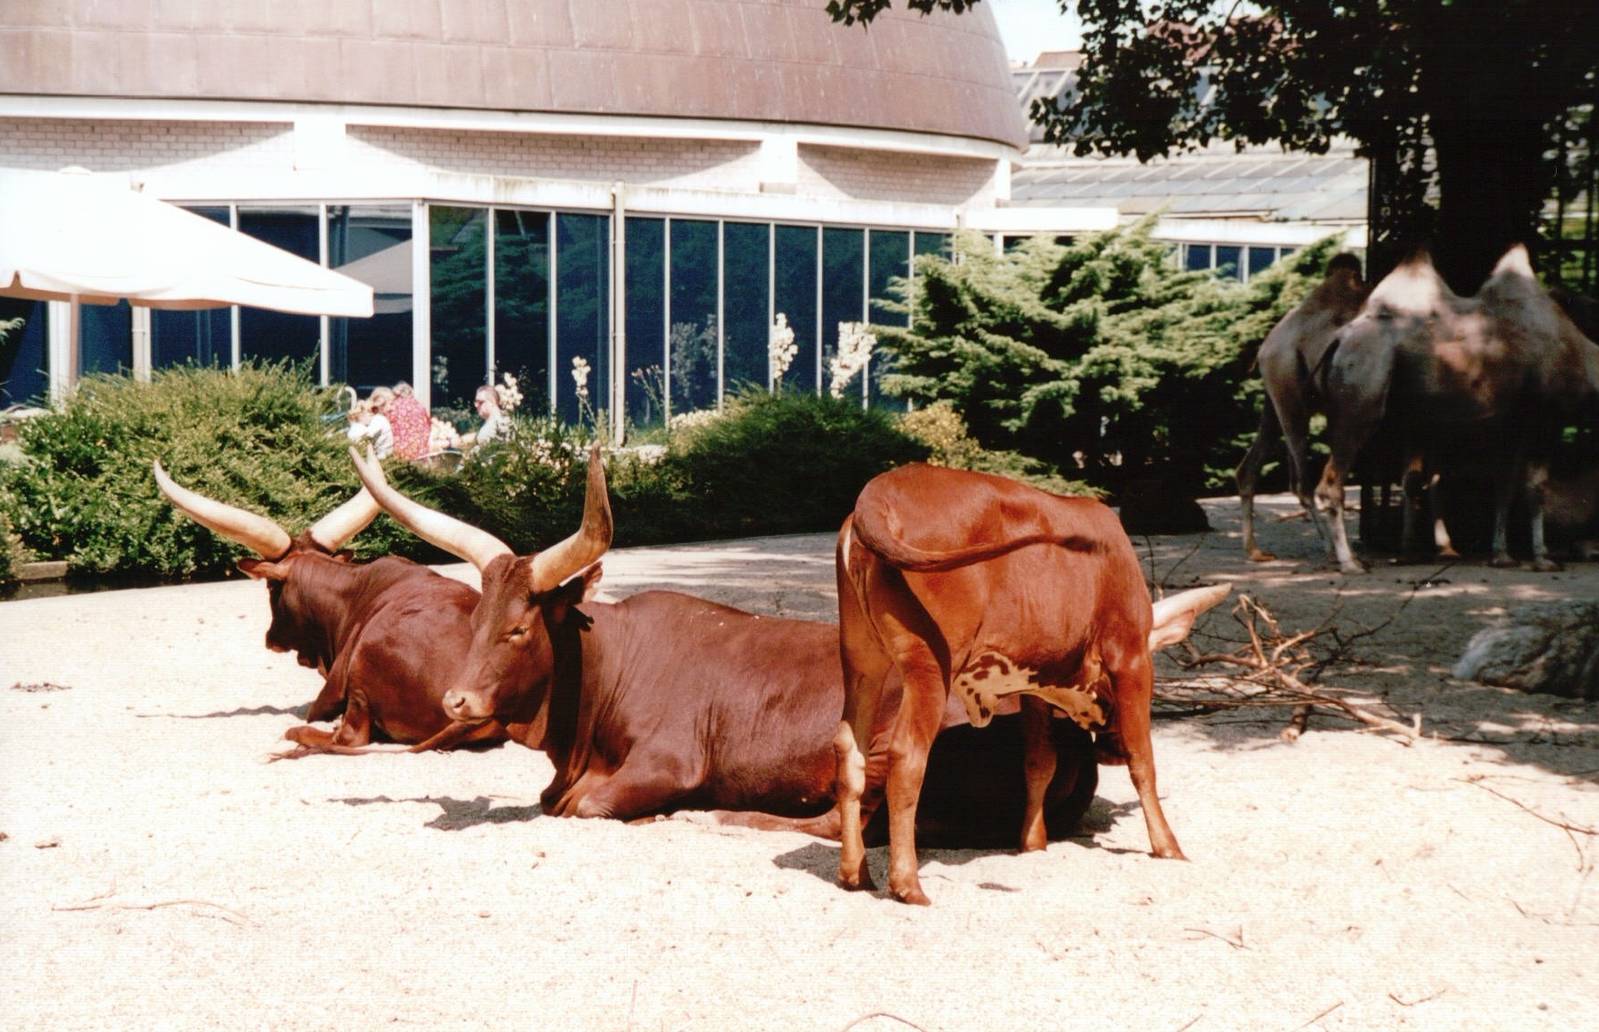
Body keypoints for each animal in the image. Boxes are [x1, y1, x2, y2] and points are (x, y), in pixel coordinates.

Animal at [153, 462, 515, 757]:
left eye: (270, 587)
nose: (271, 638)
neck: (351, 591)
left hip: (362, 671)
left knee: (349, 737)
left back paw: (300, 733)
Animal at [347, 445, 1105, 847]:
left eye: (518, 629)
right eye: (475, 619)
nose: (456, 699)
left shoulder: (667, 763)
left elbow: (584, 805)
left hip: (886, 747)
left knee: (838, 819)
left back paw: (725, 814)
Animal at [831, 464, 1231, 904]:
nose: (1107, 747)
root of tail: (879, 491)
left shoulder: (1033, 683)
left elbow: (1040, 761)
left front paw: (1033, 842)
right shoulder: (1129, 656)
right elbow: (1143, 760)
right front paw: (1167, 845)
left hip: (862, 662)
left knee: (849, 750)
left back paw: (855, 873)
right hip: (930, 666)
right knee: (907, 756)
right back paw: (907, 884)